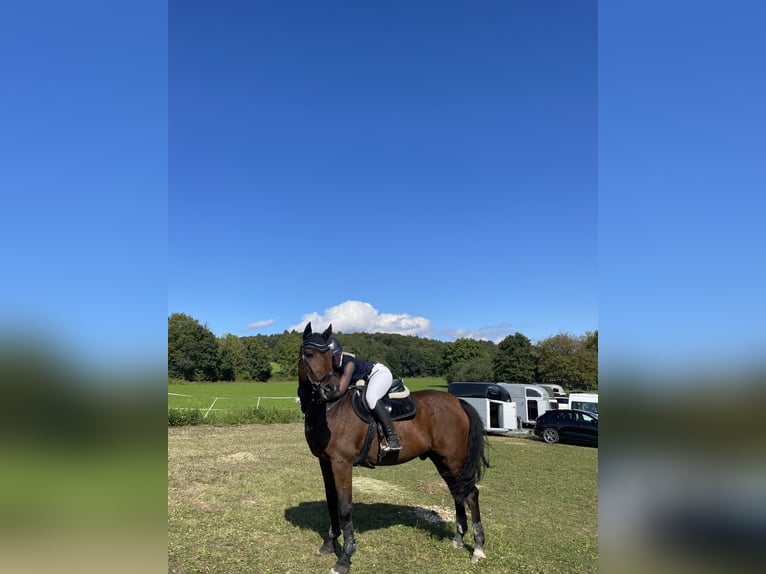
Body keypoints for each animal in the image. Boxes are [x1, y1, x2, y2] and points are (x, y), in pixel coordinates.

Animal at [296, 324, 488, 574]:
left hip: (454, 459)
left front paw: (345, 558)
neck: (328, 409)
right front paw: (329, 544)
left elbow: (345, 507)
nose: (330, 389)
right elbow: (331, 502)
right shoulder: (325, 462)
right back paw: (457, 539)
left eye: (330, 357)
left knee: (471, 493)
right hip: (442, 460)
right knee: (458, 492)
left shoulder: (341, 463)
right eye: (309, 355)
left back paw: (478, 549)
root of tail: (457, 402)